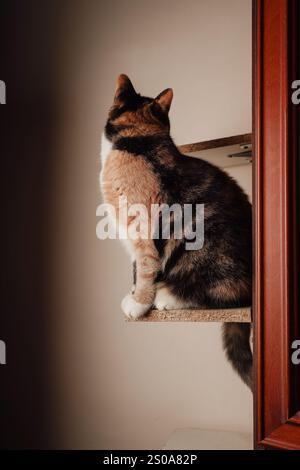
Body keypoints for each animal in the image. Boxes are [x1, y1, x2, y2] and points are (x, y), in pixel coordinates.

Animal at [101, 74, 253, 390]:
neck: (140, 140)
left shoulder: (141, 228)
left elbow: (145, 267)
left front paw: (138, 304)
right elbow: (136, 270)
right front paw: (133, 293)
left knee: (226, 296)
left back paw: (168, 297)